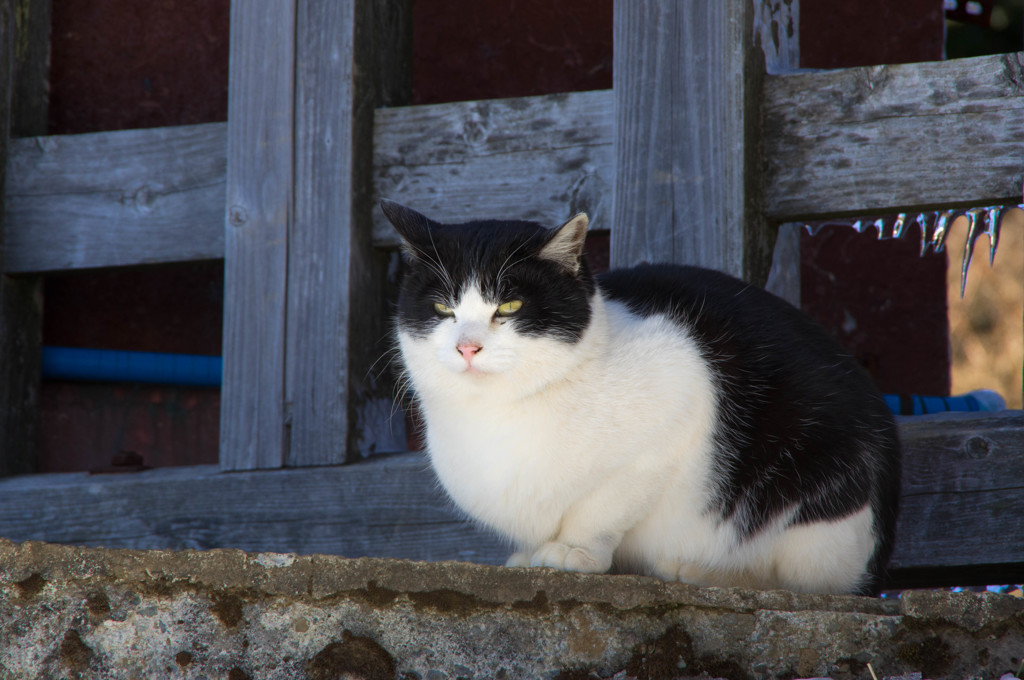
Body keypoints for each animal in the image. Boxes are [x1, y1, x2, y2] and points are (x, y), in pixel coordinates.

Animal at [380, 199, 901, 593]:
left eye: (509, 305)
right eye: (443, 307)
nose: (467, 347)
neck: (499, 412)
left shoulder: (672, 414)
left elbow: (602, 506)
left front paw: (574, 549)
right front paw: (531, 555)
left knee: (803, 579)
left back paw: (701, 571)